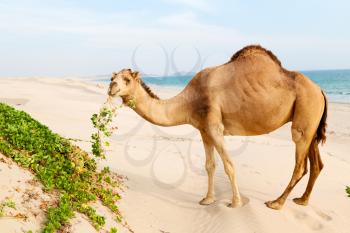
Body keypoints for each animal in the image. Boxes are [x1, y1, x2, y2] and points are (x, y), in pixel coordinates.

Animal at [108, 45, 326, 209]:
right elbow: (209, 166)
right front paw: (207, 199)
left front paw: (236, 203)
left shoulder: (214, 126)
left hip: (305, 115)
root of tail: (321, 91)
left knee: (300, 164)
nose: (111, 87)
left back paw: (276, 203)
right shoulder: (204, 130)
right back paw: (302, 200)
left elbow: (228, 165)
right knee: (317, 164)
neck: (190, 100)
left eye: (126, 79)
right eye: (112, 77)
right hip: (312, 126)